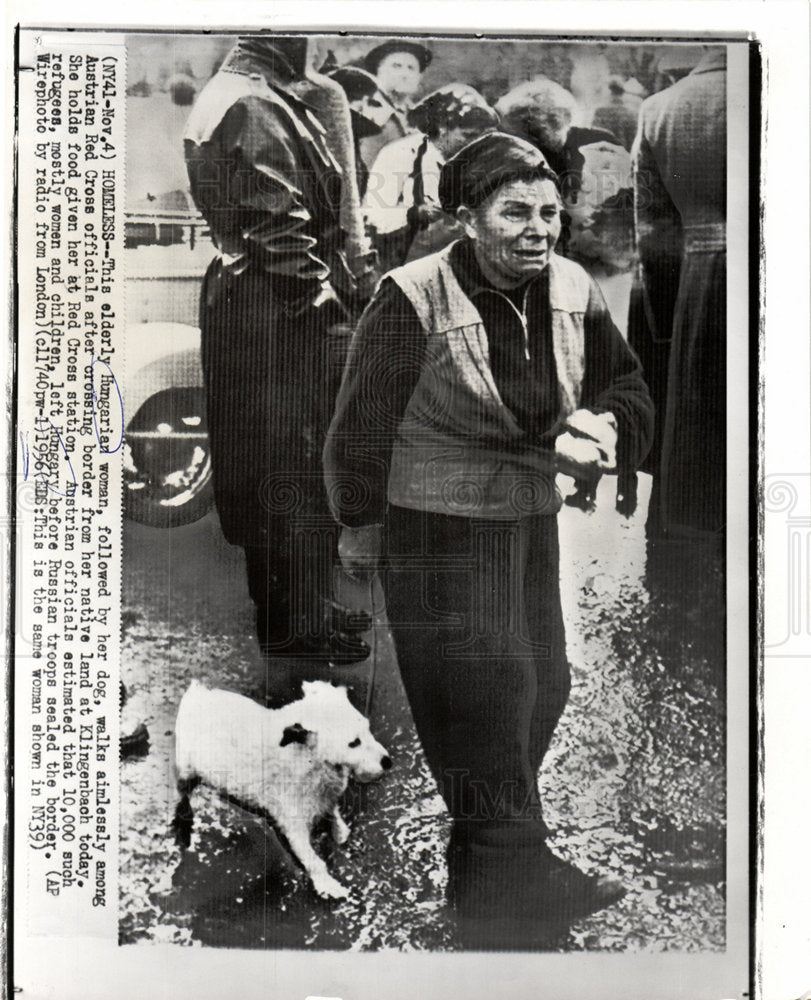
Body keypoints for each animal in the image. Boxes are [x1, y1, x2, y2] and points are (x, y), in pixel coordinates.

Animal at [174, 680, 394, 900]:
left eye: (367, 728)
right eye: (354, 743)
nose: (387, 762)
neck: (308, 759)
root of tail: (196, 692)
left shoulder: (325, 796)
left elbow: (332, 810)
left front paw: (339, 829)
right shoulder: (294, 826)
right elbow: (313, 860)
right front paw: (327, 884)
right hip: (186, 769)